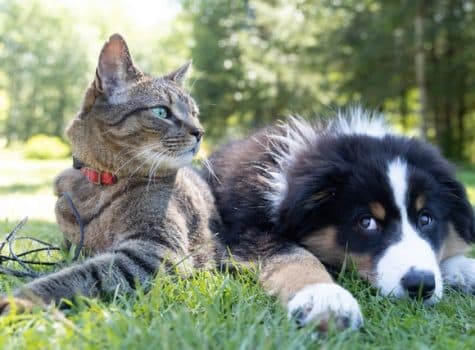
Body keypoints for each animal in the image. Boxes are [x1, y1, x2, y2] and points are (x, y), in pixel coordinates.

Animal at [0, 33, 223, 312]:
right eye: (161, 111)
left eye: (194, 114)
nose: (200, 132)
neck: (100, 184)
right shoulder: (72, 245)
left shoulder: (156, 250)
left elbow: (83, 274)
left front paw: (22, 299)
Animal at [205, 107, 475, 330]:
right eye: (366, 222)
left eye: (426, 219)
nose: (420, 285)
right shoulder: (245, 232)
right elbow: (294, 255)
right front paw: (325, 297)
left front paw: (464, 267)